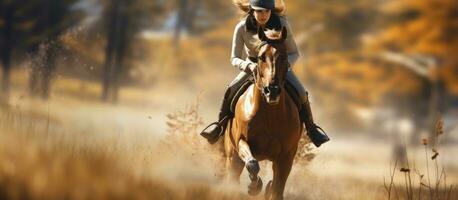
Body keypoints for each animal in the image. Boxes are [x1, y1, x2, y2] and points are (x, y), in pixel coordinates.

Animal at [223, 26, 302, 200]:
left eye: (284, 56)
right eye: (260, 57)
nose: (271, 90)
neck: (270, 116)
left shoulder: (285, 157)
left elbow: (277, 188)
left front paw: (266, 187)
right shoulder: (241, 142)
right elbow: (252, 164)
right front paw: (254, 187)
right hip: (232, 157)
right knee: (233, 178)